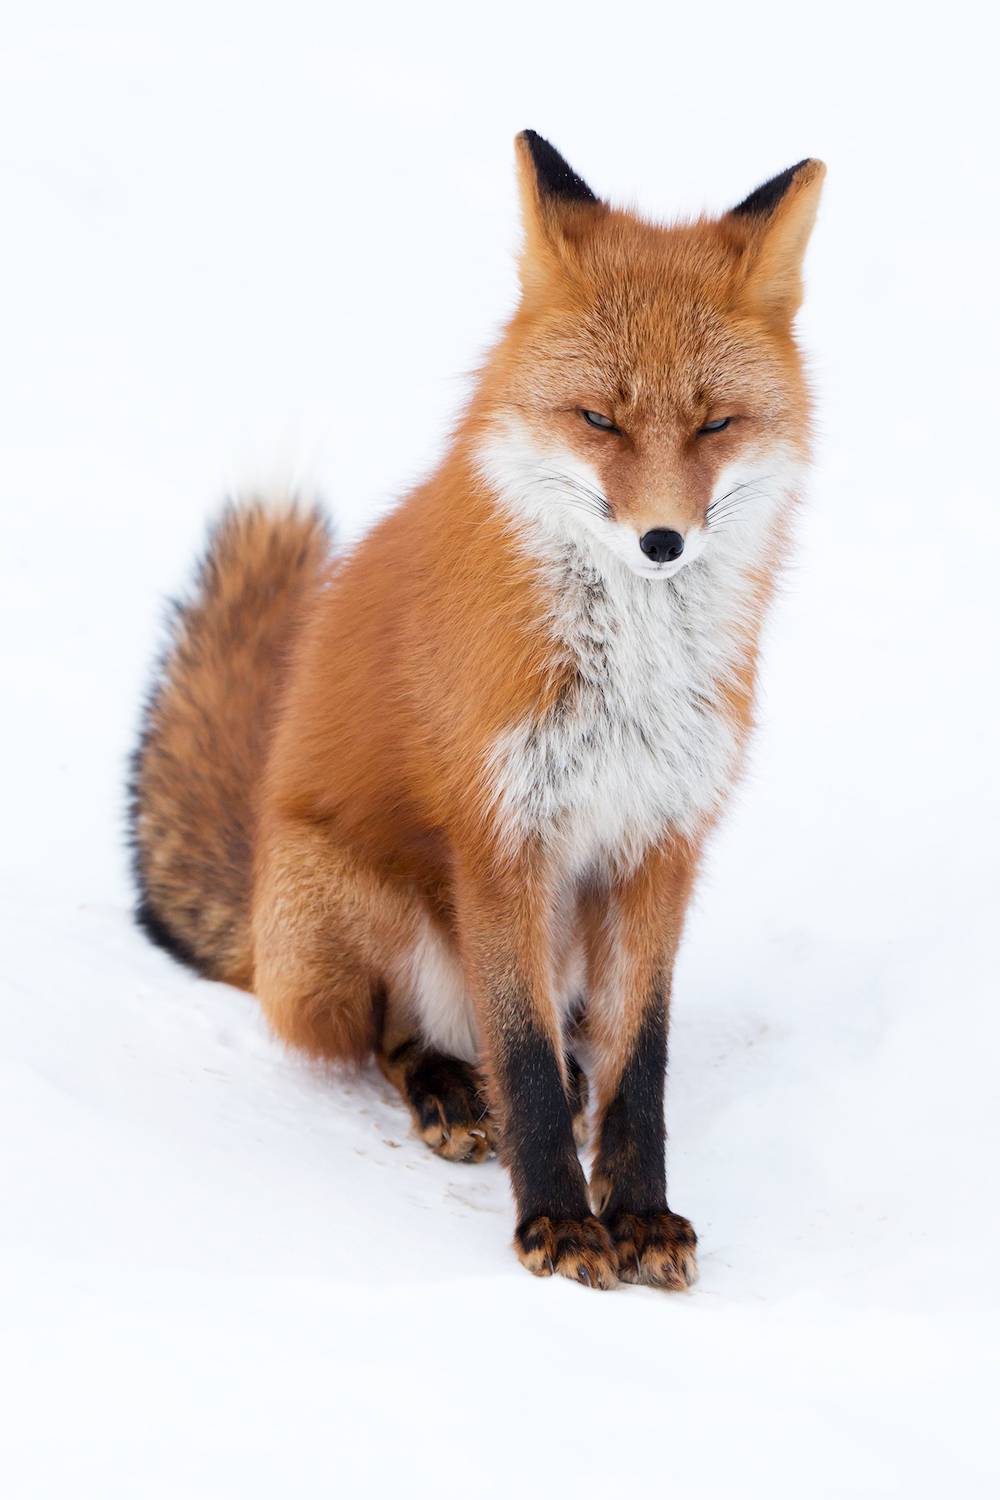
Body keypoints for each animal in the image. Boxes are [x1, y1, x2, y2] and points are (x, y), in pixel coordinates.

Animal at [129, 131, 825, 1289]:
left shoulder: (660, 842)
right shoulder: (503, 837)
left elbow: (639, 1066)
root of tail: (256, 933)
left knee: (571, 1040)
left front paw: (638, 1214)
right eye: (599, 419)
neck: (626, 675)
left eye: (715, 424)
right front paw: (556, 1222)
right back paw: (448, 1088)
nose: (663, 542)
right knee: (397, 1037)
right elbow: (525, 1062)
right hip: (356, 908)